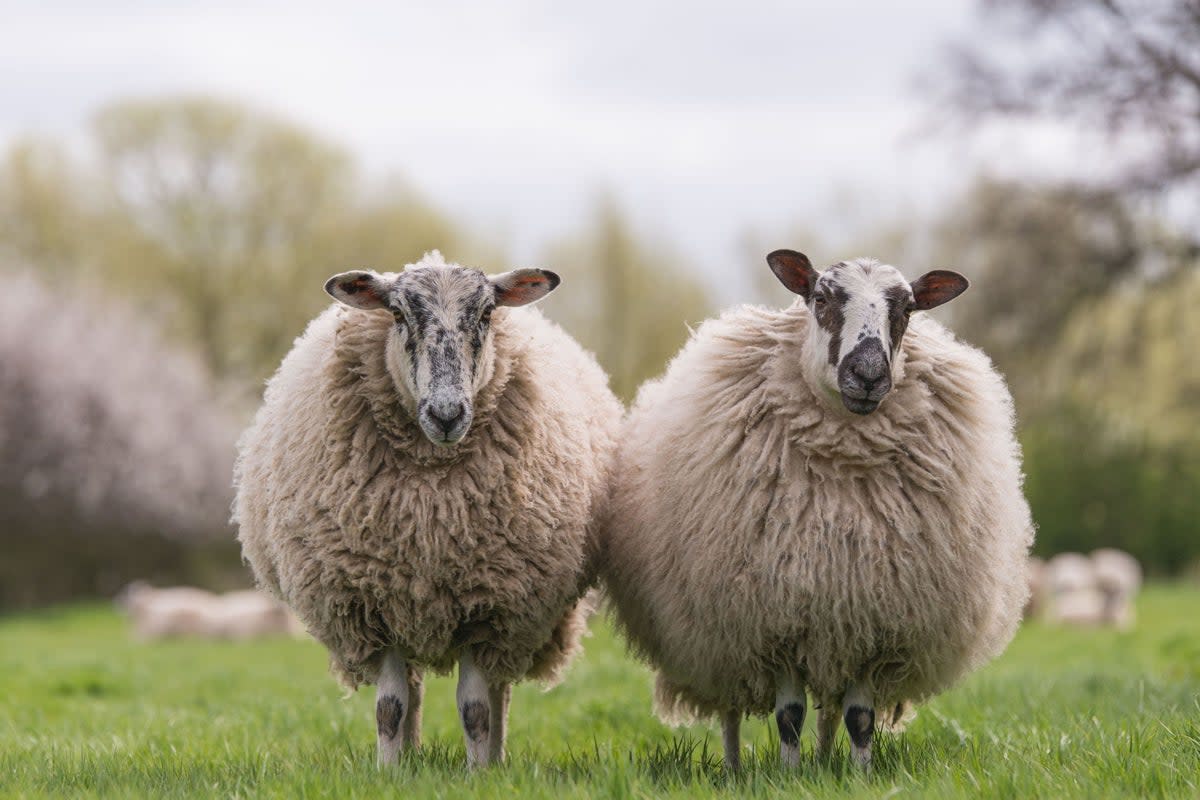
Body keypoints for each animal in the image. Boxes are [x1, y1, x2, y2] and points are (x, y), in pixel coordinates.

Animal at [237, 253, 624, 767]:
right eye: (398, 313)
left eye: (486, 313)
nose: (446, 415)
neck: (429, 513)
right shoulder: (373, 604)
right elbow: (389, 707)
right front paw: (389, 771)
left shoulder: (490, 606)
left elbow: (476, 710)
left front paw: (479, 772)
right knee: (414, 694)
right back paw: (411, 755)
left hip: (514, 622)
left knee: (499, 693)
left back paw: (495, 759)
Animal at [604, 248, 1036, 767]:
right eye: (822, 297)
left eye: (907, 309)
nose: (868, 376)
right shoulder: (777, 621)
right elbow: (789, 714)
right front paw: (788, 774)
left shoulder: (875, 623)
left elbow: (860, 718)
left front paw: (861, 773)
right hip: (721, 636)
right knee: (730, 708)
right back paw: (734, 767)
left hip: (835, 629)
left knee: (831, 709)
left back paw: (828, 760)